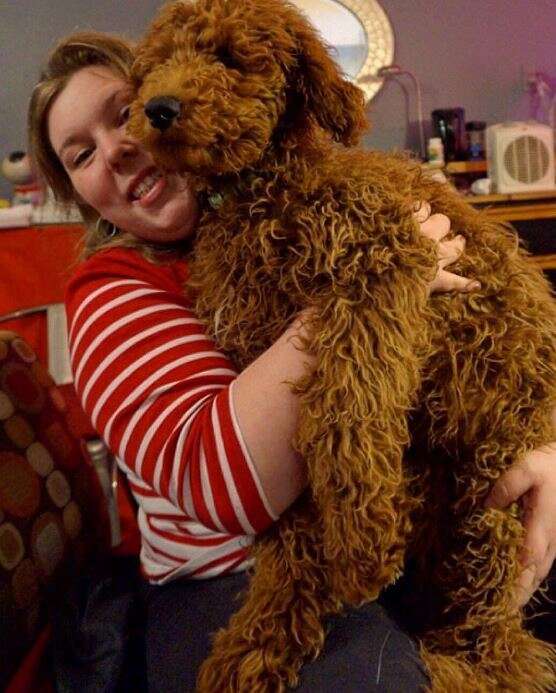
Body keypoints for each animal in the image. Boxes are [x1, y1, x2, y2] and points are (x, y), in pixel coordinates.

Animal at [127, 0, 556, 688]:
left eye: (227, 55)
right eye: (155, 63)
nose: (157, 107)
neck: (261, 196)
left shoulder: (382, 271)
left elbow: (345, 410)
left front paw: (361, 539)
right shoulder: (258, 357)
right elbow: (291, 521)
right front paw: (265, 634)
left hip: (491, 479)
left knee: (495, 634)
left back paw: (457, 661)